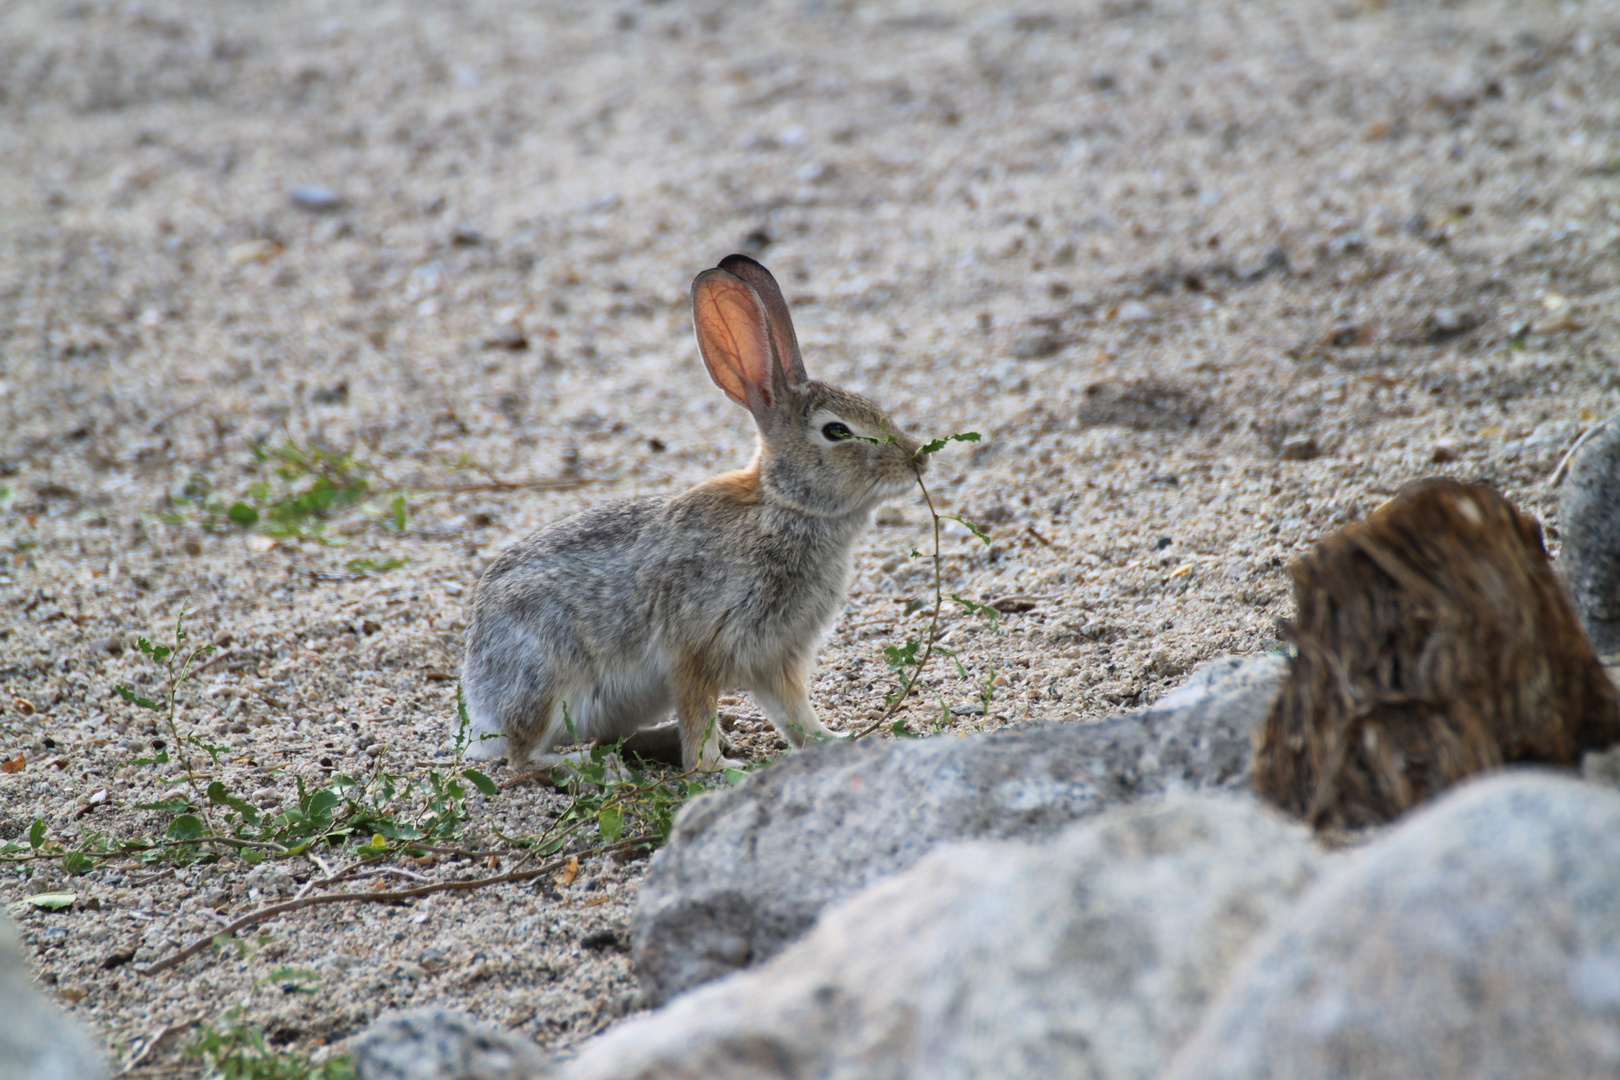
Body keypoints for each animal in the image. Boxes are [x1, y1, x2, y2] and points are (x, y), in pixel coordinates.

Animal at [463, 257, 933, 773]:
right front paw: (716, 768)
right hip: (549, 679)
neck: (784, 506)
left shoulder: (775, 656)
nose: (917, 458)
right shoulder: (695, 648)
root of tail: (480, 703)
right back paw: (589, 765)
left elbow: (794, 713)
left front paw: (835, 739)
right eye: (837, 431)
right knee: (521, 757)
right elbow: (699, 713)